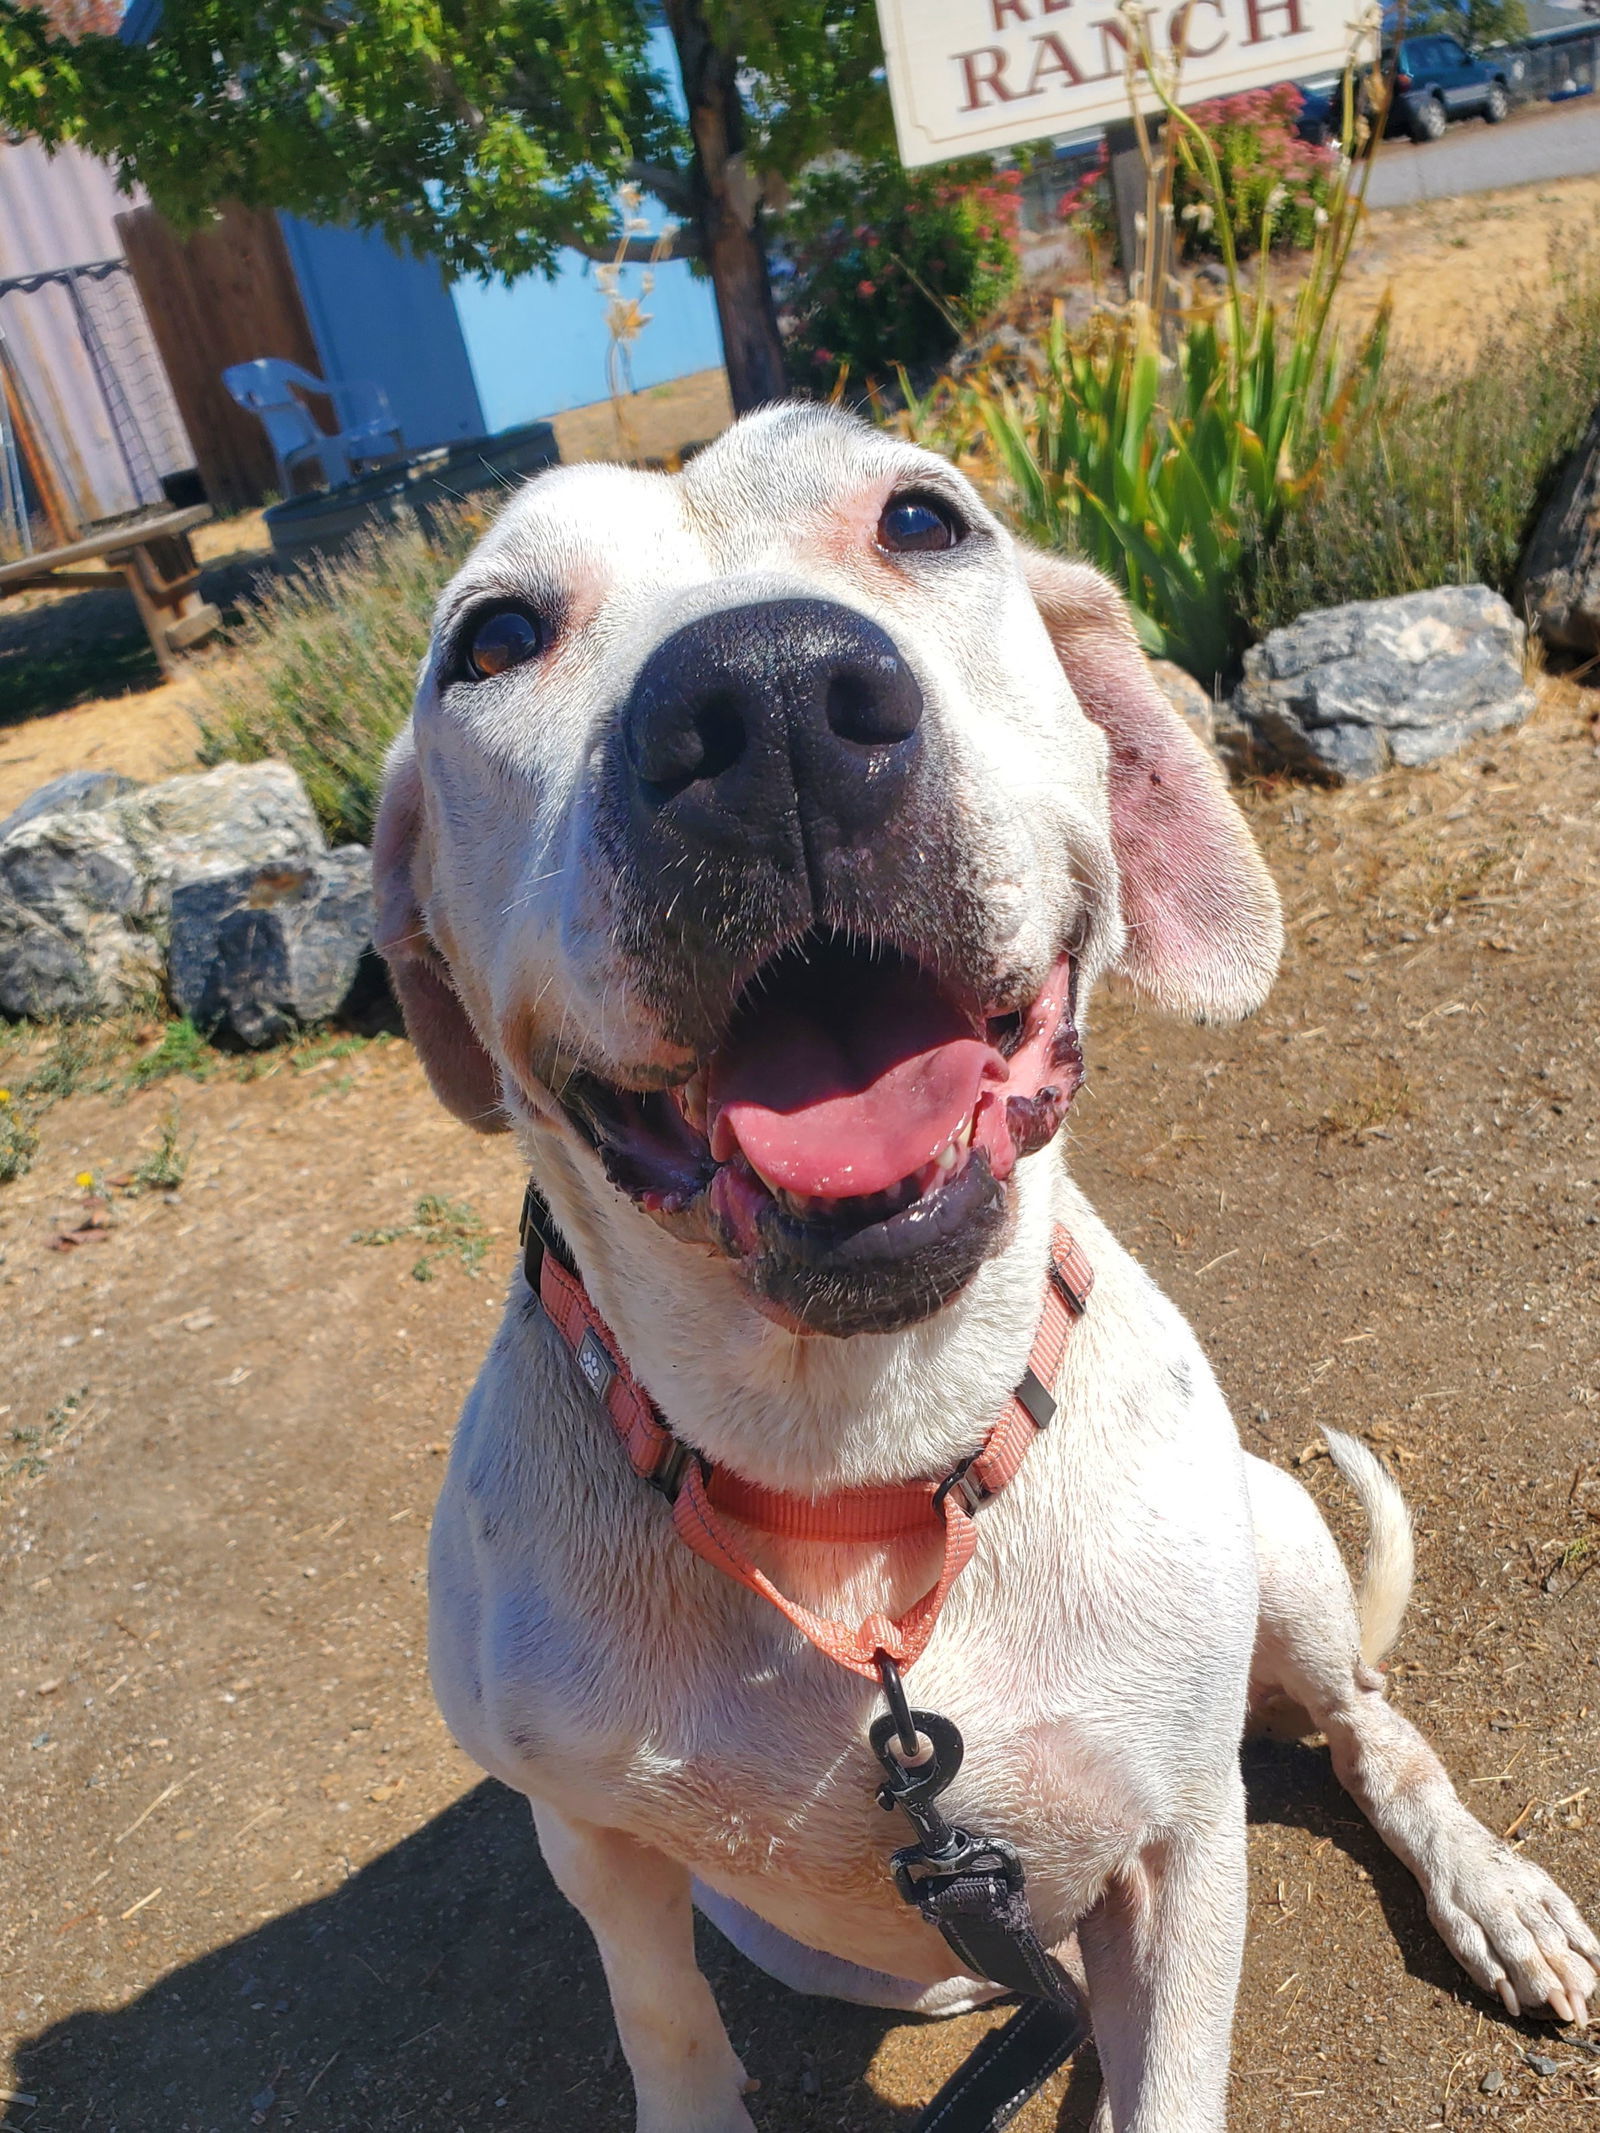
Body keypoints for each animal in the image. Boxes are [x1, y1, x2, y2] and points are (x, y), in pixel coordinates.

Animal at [373, 403, 1595, 2133]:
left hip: (1279, 1534)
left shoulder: (1184, 1845)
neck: (855, 1456)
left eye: (923, 518)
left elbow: (1178, 2063)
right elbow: (664, 2019)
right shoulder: (598, 1847)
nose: (766, 702)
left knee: (1368, 1727)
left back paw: (1489, 1889)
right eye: (491, 638)